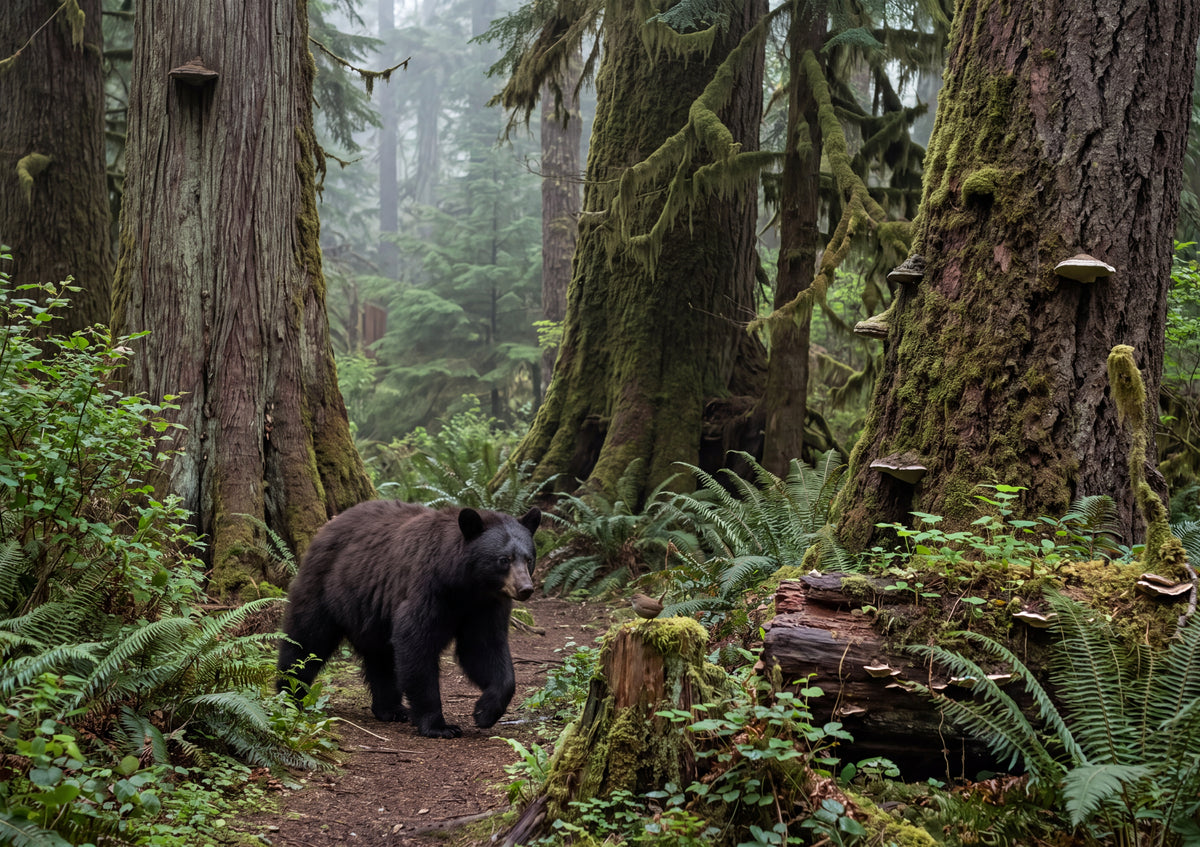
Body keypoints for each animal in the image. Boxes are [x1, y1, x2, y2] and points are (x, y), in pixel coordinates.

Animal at [277, 500, 541, 738]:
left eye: (528, 558)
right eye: (504, 559)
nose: (525, 589)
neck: (465, 585)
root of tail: (328, 525)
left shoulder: (485, 606)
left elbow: (484, 649)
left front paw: (484, 712)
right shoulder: (428, 589)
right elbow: (416, 644)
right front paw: (439, 726)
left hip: (372, 610)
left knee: (381, 658)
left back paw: (391, 709)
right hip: (325, 589)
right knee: (305, 641)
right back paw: (289, 696)